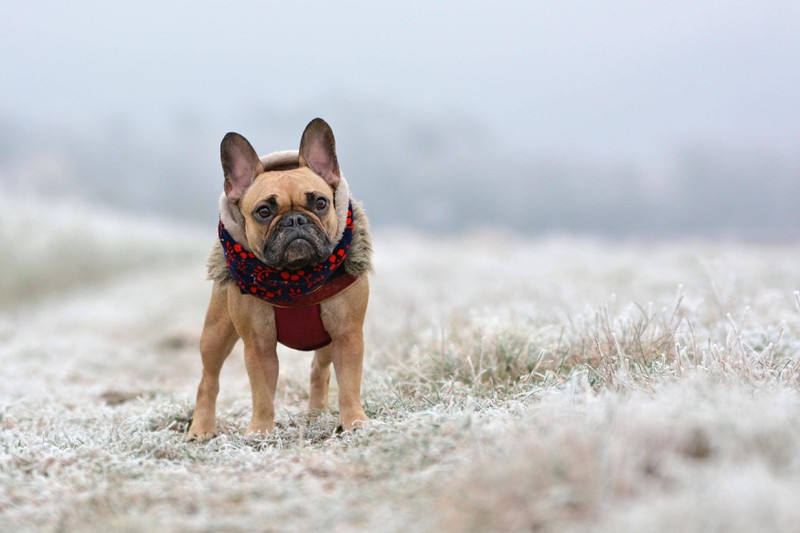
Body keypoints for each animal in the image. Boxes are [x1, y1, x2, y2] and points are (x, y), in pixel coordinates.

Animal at [189, 118, 374, 438]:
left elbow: (349, 384)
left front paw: (354, 423)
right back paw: (201, 429)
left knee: (319, 370)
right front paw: (260, 431)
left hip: (328, 341)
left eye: (320, 203)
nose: (295, 220)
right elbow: (262, 392)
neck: (296, 277)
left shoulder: (347, 335)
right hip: (216, 333)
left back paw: (315, 413)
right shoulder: (258, 345)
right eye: (264, 211)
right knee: (208, 380)